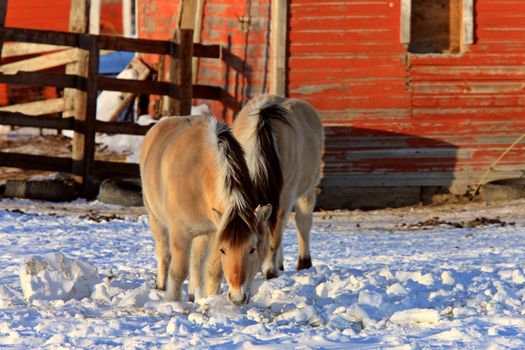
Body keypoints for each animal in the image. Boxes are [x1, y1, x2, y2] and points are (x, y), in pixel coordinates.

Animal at [139, 115, 270, 304]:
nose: (237, 298)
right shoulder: (180, 233)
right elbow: (178, 272)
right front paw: (172, 301)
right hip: (156, 219)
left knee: (196, 261)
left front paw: (211, 300)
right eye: (224, 250)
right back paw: (161, 286)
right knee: (164, 253)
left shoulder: (215, 232)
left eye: (252, 249)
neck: (197, 174)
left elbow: (212, 272)